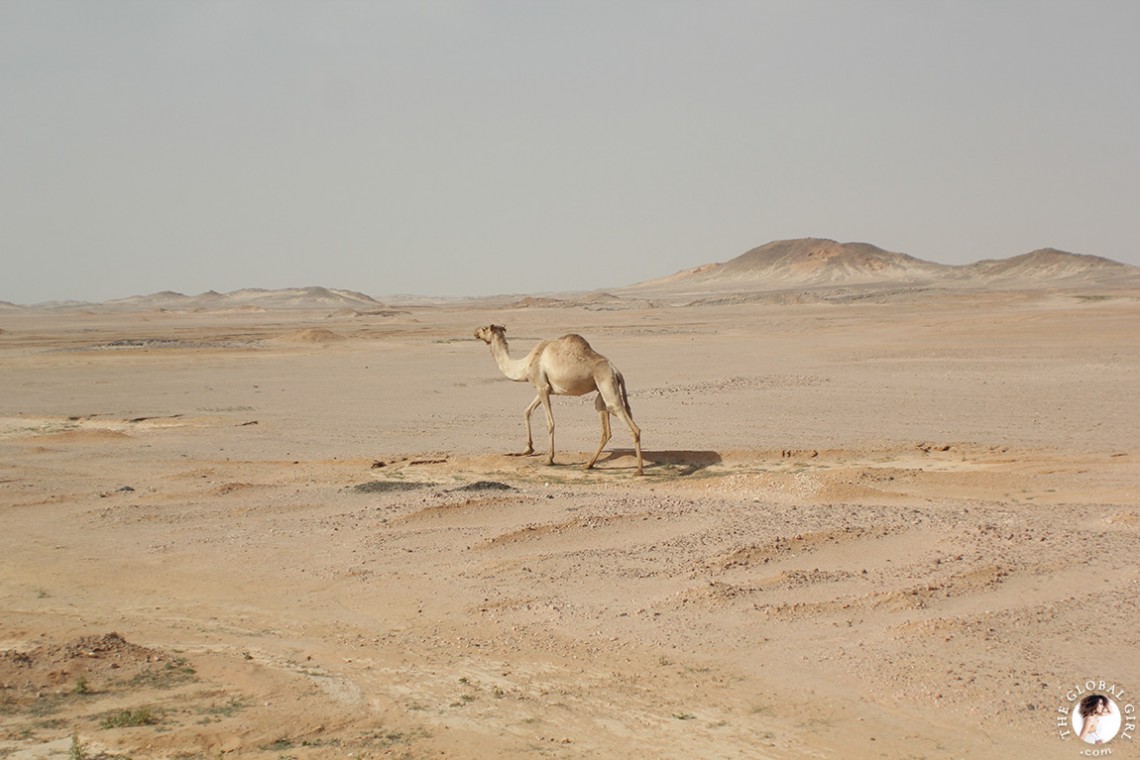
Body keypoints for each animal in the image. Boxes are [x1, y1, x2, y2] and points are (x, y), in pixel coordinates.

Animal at [476, 325, 647, 476]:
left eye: (484, 329)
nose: (475, 332)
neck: (525, 365)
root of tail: (615, 370)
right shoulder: (545, 388)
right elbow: (527, 411)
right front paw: (527, 449)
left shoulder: (542, 386)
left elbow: (550, 423)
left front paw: (549, 459)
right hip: (602, 390)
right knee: (605, 426)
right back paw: (588, 464)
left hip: (606, 383)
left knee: (627, 421)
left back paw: (639, 470)